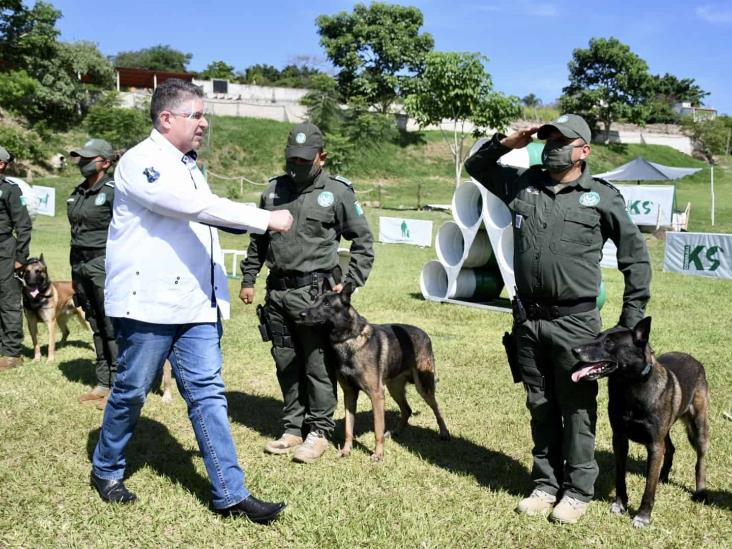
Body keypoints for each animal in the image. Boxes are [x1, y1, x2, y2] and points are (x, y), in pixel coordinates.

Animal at [298, 280, 448, 460]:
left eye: (327, 304)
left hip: (423, 387)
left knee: (437, 408)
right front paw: (346, 450)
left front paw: (378, 454)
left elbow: (377, 428)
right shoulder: (350, 394)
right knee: (407, 410)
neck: (348, 339)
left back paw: (444, 433)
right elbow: (349, 428)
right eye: (315, 300)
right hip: (394, 388)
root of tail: (425, 333)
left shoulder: (376, 395)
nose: (301, 314)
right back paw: (396, 432)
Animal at [572, 316, 708, 528]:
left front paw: (643, 516)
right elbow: (620, 476)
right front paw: (620, 504)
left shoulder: (654, 446)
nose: (574, 350)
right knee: (671, 448)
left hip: (698, 427)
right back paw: (663, 476)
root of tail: (694, 360)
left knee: (700, 459)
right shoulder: (620, 439)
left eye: (609, 343)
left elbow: (648, 488)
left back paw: (700, 492)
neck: (630, 387)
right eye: (597, 337)